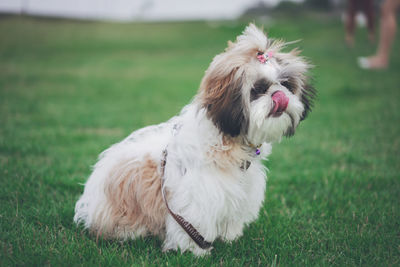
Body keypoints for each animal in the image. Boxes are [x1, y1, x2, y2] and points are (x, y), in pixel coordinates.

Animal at [74, 24, 316, 256]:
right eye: (257, 89)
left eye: (286, 84)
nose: (280, 96)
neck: (229, 141)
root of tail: (88, 204)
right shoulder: (196, 197)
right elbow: (193, 224)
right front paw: (194, 250)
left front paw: (230, 238)